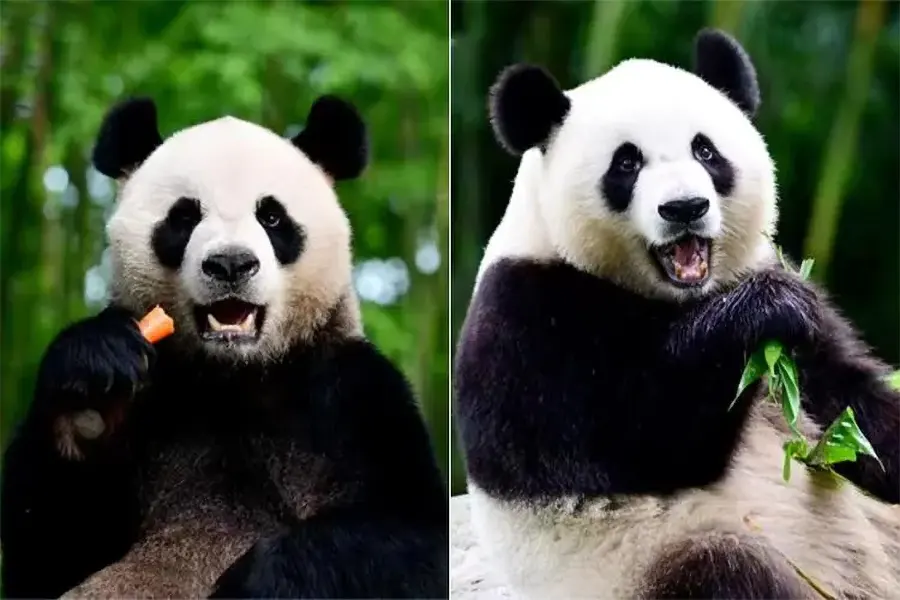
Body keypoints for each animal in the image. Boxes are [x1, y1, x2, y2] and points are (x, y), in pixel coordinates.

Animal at [1, 94, 448, 599]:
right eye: (184, 216)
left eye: (271, 216)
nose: (230, 264)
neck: (234, 374)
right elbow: (48, 551)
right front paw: (92, 393)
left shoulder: (351, 396)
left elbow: (414, 538)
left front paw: (255, 579)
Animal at [453, 29, 899, 599]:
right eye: (626, 163)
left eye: (704, 149)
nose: (684, 208)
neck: (680, 299)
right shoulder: (525, 318)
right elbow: (642, 441)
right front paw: (766, 309)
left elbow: (855, 407)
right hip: (648, 563)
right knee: (726, 573)